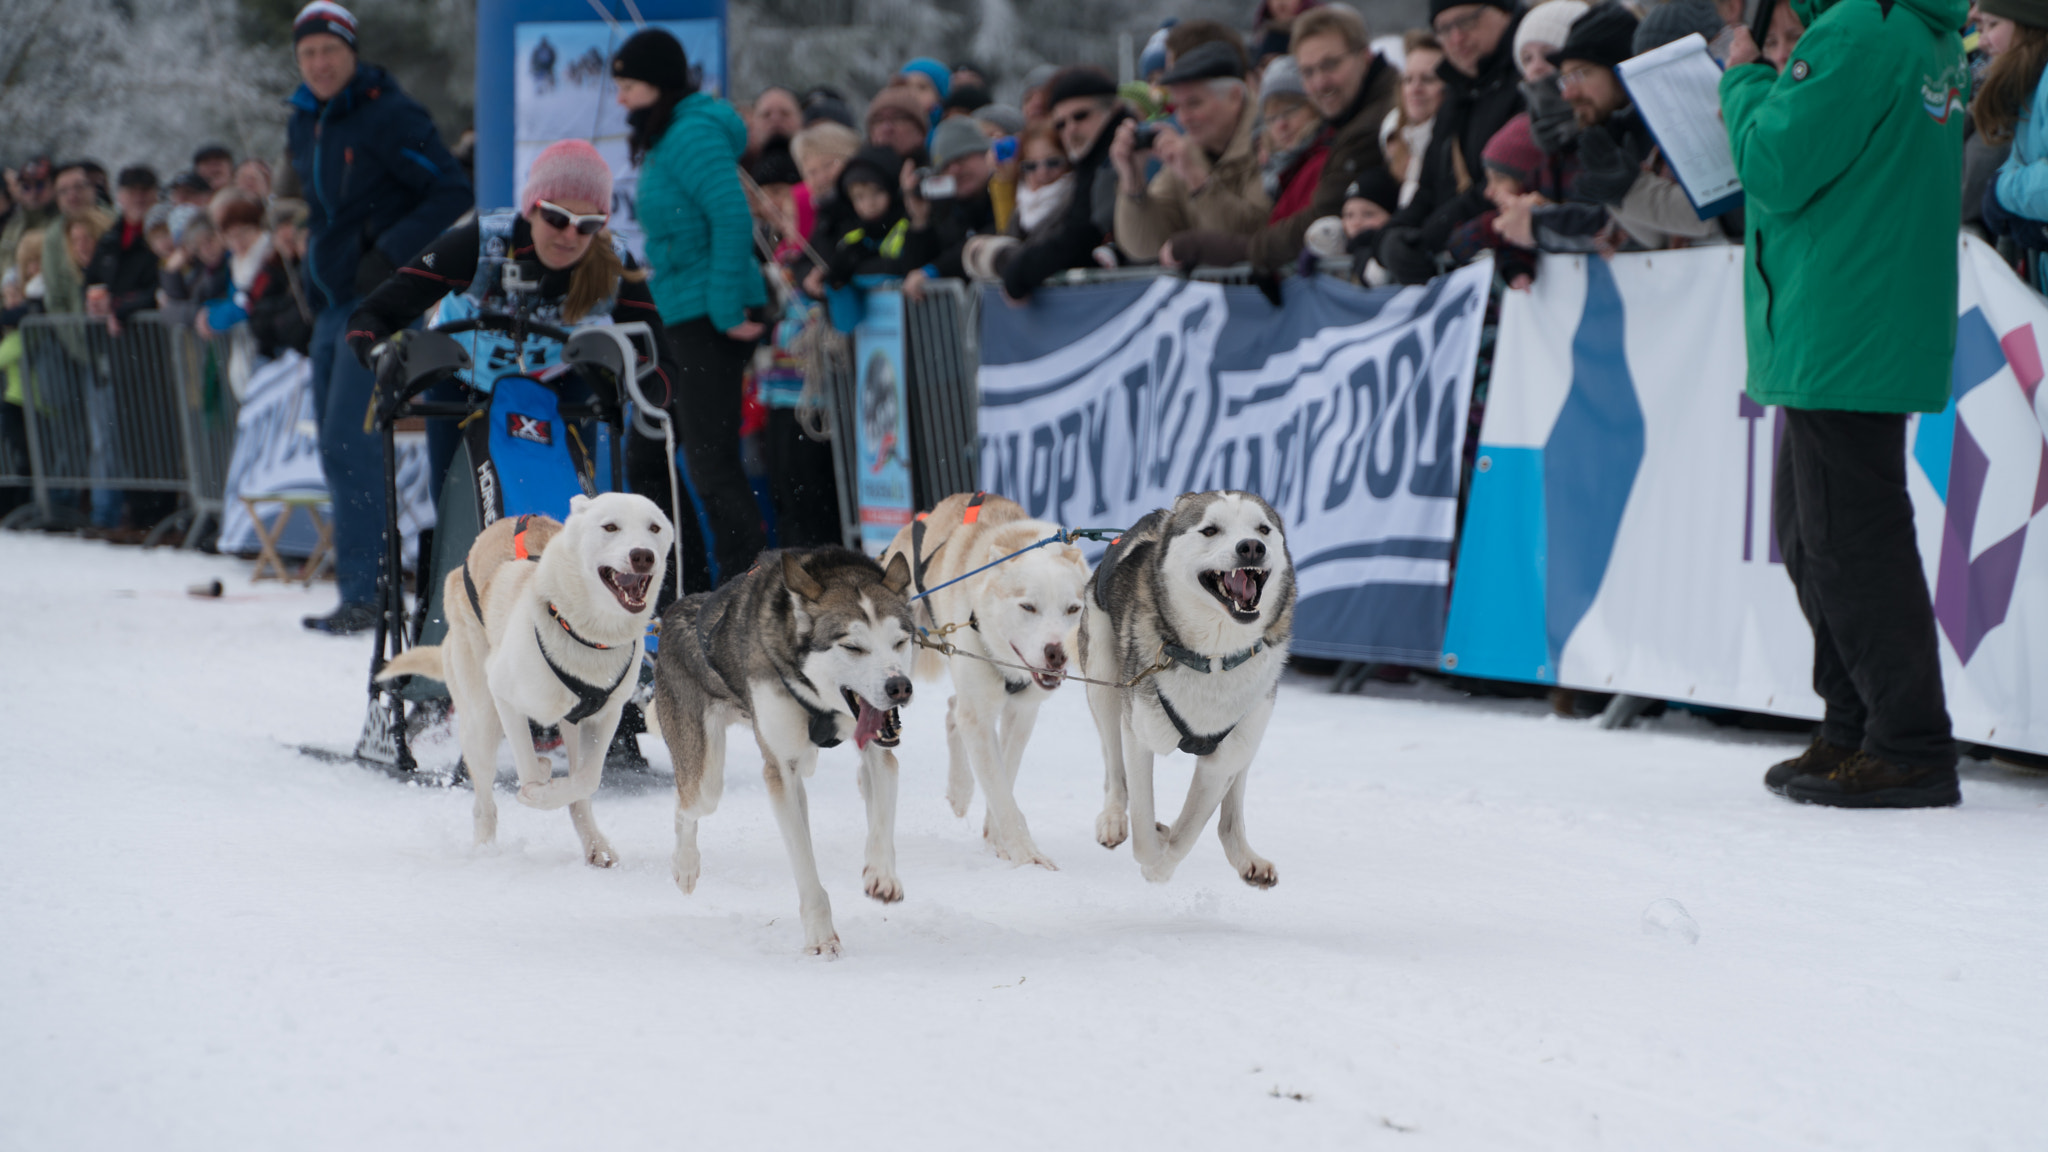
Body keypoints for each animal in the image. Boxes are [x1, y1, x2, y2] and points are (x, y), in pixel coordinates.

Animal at [376, 491, 671, 860]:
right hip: (481, 720)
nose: (643, 555)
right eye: (610, 527)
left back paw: (595, 846)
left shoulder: (605, 716)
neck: (584, 633)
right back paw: (485, 849)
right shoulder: (505, 697)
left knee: (579, 797)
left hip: (569, 725)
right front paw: (536, 787)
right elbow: (529, 773)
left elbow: (587, 780)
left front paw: (555, 789)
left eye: (654, 527)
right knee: (484, 803)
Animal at [651, 545, 917, 951]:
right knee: (686, 807)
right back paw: (685, 865)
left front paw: (882, 874)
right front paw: (820, 936)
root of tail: (671, 615)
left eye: (900, 641)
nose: (899, 686)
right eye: (853, 647)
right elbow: (804, 863)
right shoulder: (780, 769)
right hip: (705, 780)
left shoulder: (878, 750)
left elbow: (881, 813)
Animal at [884, 487, 1097, 865]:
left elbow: (1004, 775)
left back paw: (960, 791)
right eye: (1028, 606)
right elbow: (998, 787)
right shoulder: (981, 716)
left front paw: (996, 838)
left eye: (1074, 609)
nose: (1057, 653)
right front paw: (1026, 855)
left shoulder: (1022, 713)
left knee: (953, 710)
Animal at [1073, 487, 1294, 881]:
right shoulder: (1138, 735)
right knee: (1115, 771)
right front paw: (1152, 859)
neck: (1214, 658)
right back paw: (1113, 818)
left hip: (1252, 733)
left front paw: (1163, 861)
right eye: (1210, 530)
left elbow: (1189, 831)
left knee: (1229, 815)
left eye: (1263, 529)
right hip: (1103, 685)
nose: (1251, 547)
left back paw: (1243, 855)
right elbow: (1143, 824)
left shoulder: (1220, 762)